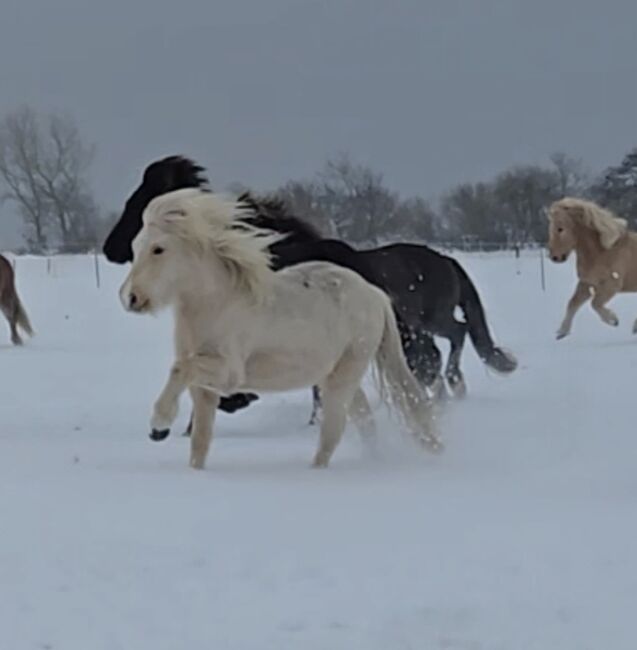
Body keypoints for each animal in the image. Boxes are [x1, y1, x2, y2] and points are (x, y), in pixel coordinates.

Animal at [103, 156, 517, 413]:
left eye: (139, 206)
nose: (110, 248)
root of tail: (446, 260)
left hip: (429, 320)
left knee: (453, 338)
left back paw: (452, 385)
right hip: (418, 327)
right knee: (436, 352)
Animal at [119, 188, 441, 469]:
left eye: (159, 249)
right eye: (135, 247)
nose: (131, 298)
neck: (216, 304)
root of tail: (375, 294)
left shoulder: (228, 373)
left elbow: (179, 369)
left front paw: (159, 426)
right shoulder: (205, 389)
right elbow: (200, 440)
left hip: (346, 373)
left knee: (334, 430)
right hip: (333, 376)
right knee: (364, 421)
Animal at [548, 197, 637, 339]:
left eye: (560, 229)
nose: (554, 257)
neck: (601, 252)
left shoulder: (611, 285)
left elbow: (595, 304)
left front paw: (613, 320)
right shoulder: (586, 283)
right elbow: (572, 303)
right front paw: (562, 332)